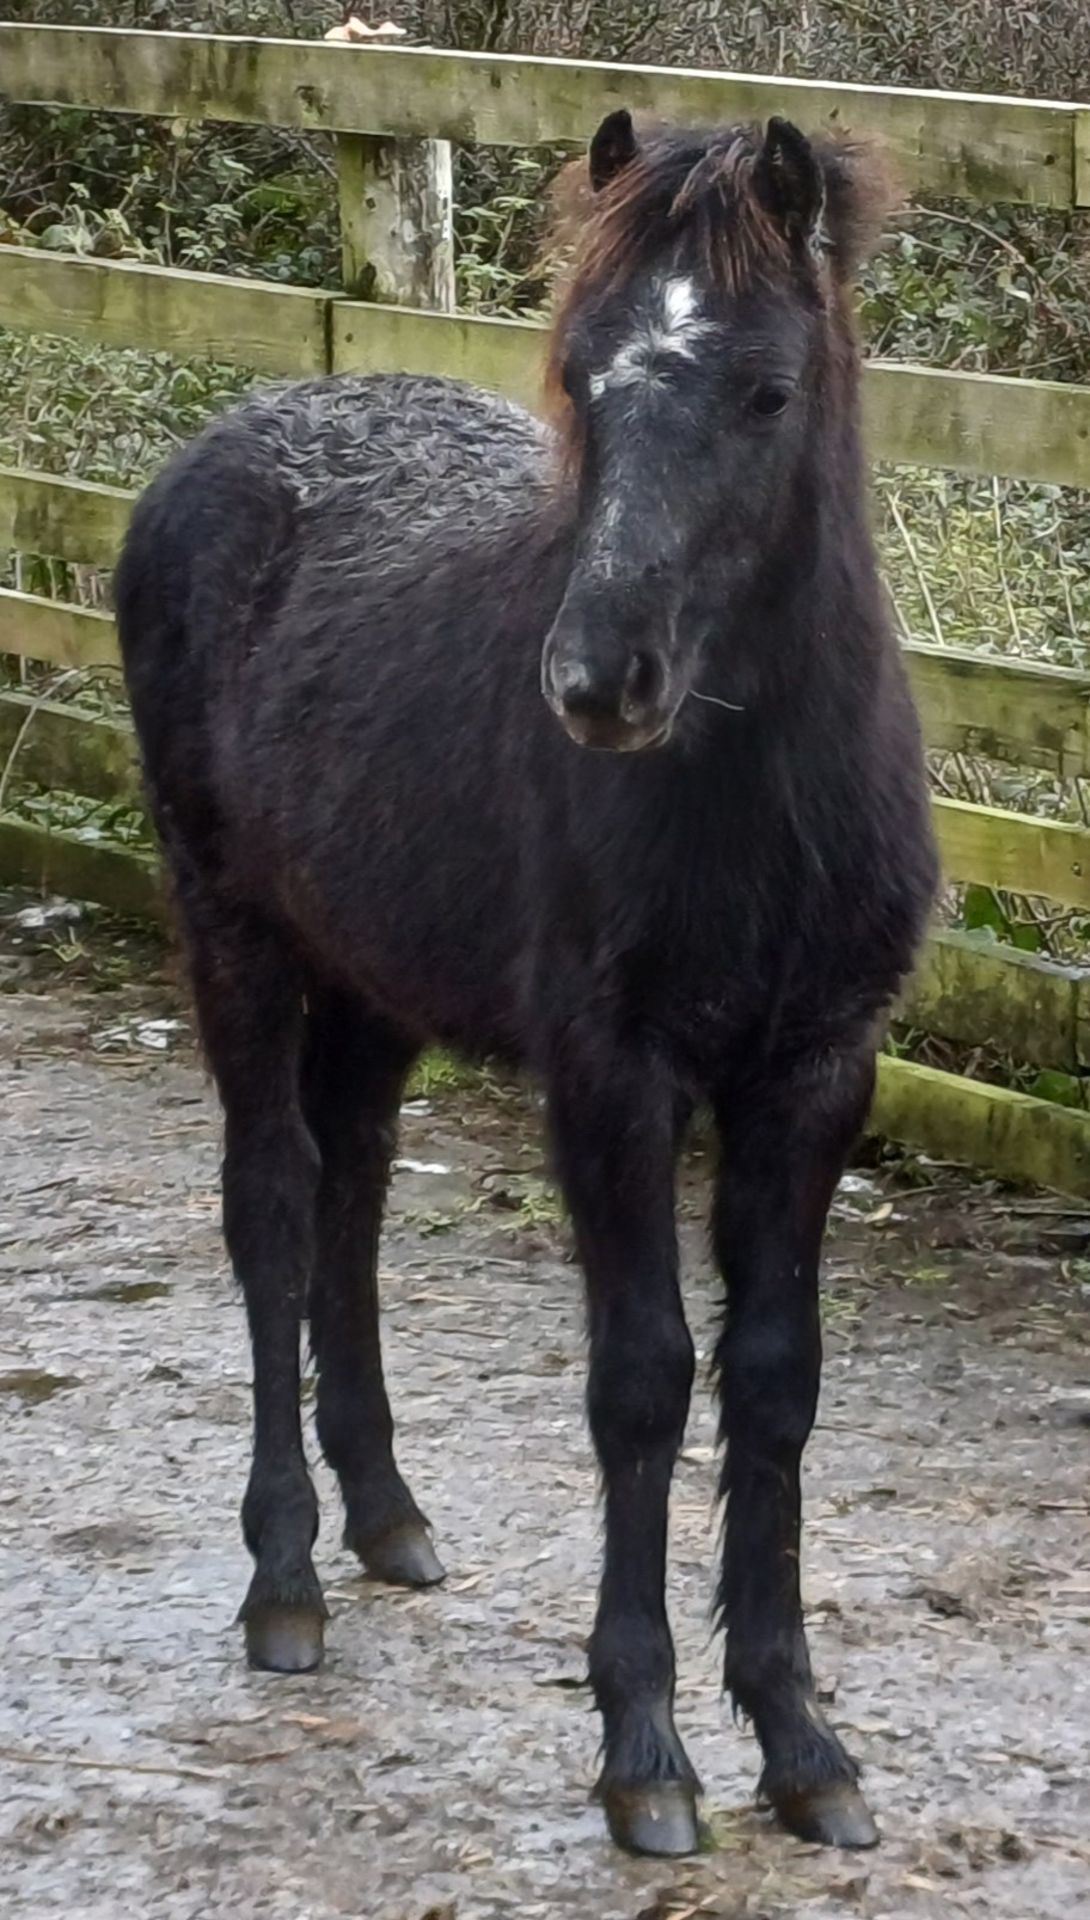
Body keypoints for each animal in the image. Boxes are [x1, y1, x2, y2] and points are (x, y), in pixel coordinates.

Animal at [115, 108, 937, 1858]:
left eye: (766, 389)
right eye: (579, 371)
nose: (596, 681)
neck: (753, 799)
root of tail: (228, 441)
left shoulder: (813, 1072)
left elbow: (774, 1384)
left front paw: (801, 1742)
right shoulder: (611, 1076)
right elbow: (641, 1382)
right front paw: (645, 1753)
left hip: (368, 980)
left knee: (350, 1198)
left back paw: (387, 1517)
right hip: (235, 935)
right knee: (272, 1214)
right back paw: (284, 1579)